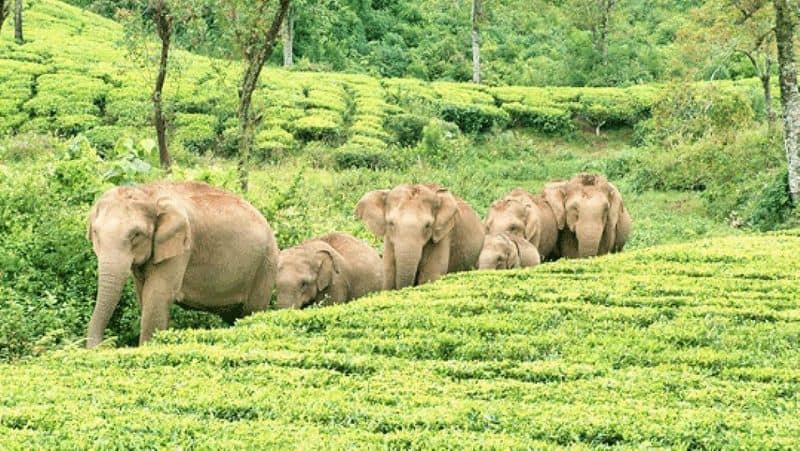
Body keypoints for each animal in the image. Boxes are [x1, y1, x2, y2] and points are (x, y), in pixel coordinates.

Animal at [84, 182, 278, 348]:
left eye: (136, 235)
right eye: (96, 232)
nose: (109, 344)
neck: (148, 192)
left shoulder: (181, 248)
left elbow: (156, 295)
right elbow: (144, 295)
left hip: (265, 266)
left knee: (252, 311)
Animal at [354, 184, 482, 290]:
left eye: (427, 226)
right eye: (391, 223)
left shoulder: (443, 236)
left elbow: (430, 275)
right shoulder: (389, 239)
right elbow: (388, 275)